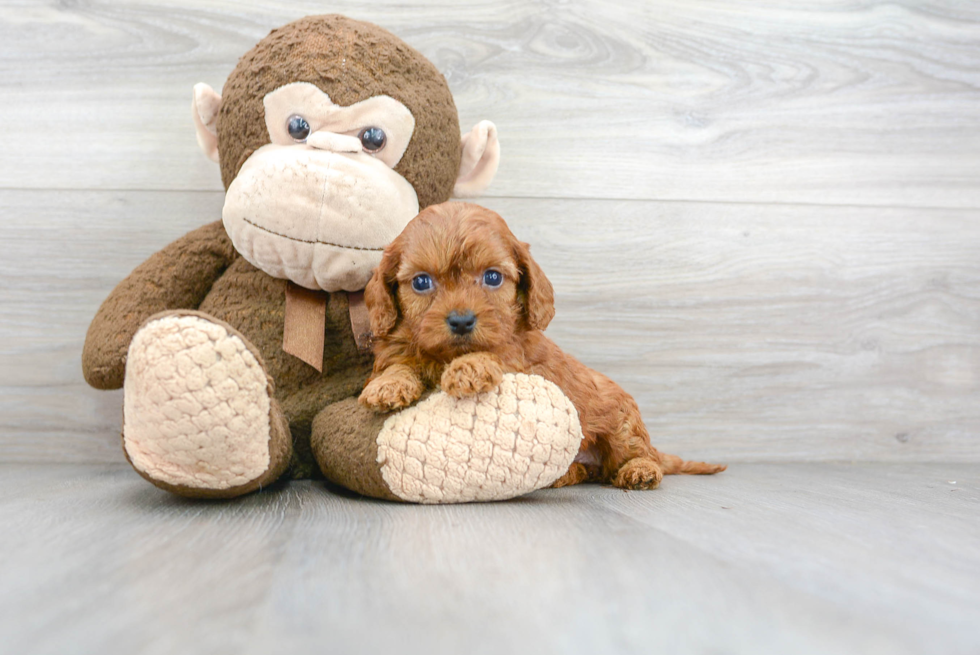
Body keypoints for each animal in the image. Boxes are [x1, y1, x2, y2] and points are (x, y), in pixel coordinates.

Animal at [360, 202, 728, 490]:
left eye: (493, 277)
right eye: (422, 282)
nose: (462, 321)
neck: (445, 354)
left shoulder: (520, 359)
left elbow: (494, 354)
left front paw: (468, 369)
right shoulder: (399, 348)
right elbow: (399, 364)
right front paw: (388, 386)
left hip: (624, 423)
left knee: (637, 453)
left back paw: (640, 470)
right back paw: (566, 475)